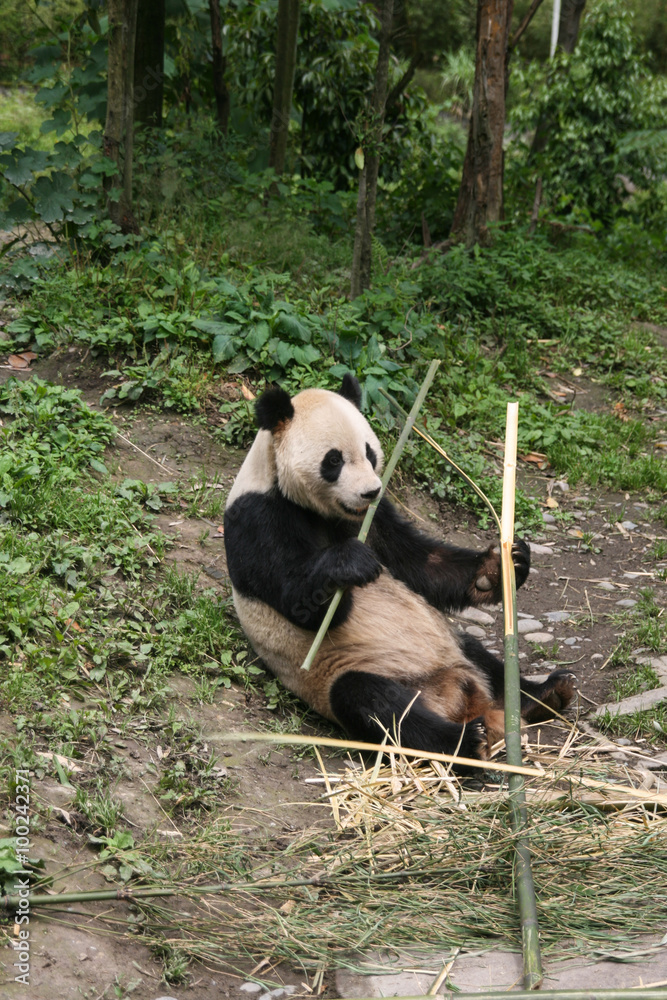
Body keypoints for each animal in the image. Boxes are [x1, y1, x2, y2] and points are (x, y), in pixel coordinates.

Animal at [224, 375, 576, 771]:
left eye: (370, 453)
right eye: (334, 460)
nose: (370, 491)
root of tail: (460, 700)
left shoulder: (374, 517)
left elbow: (419, 565)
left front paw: (502, 565)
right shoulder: (258, 516)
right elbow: (300, 604)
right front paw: (349, 564)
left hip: (450, 646)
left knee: (483, 658)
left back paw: (545, 694)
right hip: (351, 672)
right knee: (378, 705)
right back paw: (468, 741)